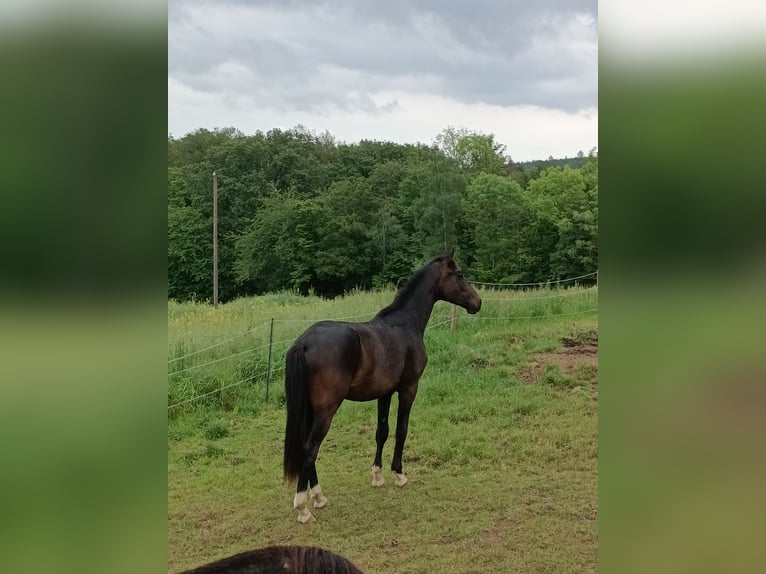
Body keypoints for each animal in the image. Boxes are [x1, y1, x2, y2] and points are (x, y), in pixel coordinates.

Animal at [284, 254, 484, 524]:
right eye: (460, 274)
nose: (477, 302)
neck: (405, 324)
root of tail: (304, 343)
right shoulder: (409, 389)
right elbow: (401, 430)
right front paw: (399, 474)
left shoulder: (385, 393)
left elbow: (382, 431)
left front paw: (377, 476)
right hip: (326, 410)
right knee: (309, 449)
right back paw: (303, 508)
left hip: (311, 409)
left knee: (309, 448)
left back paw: (319, 497)